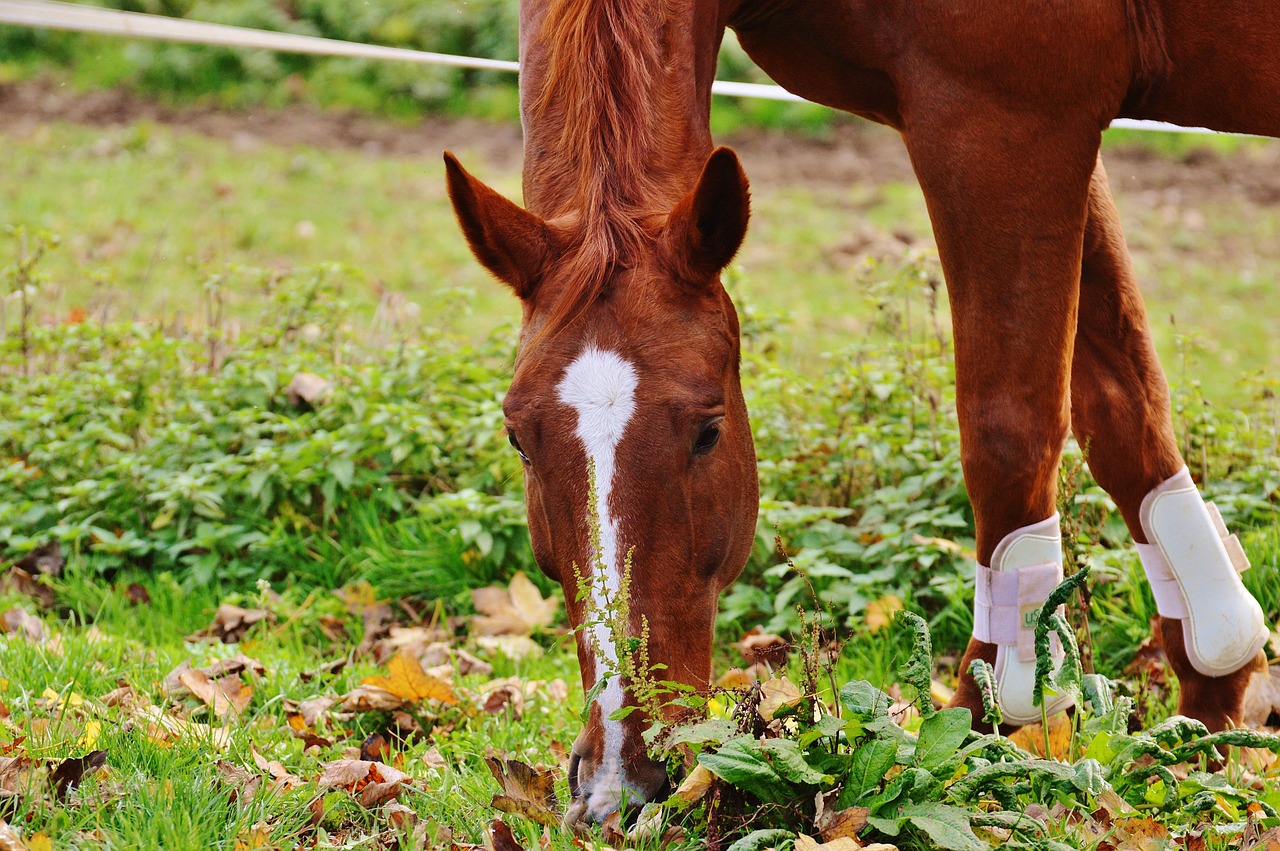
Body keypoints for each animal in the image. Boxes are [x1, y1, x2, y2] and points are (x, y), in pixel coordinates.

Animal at [445, 0, 1274, 824]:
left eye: (710, 431)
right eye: (519, 440)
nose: (621, 777)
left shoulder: (1009, 120)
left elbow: (1009, 425)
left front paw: (981, 729)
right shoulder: (1060, 128)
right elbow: (1124, 406)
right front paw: (1214, 693)